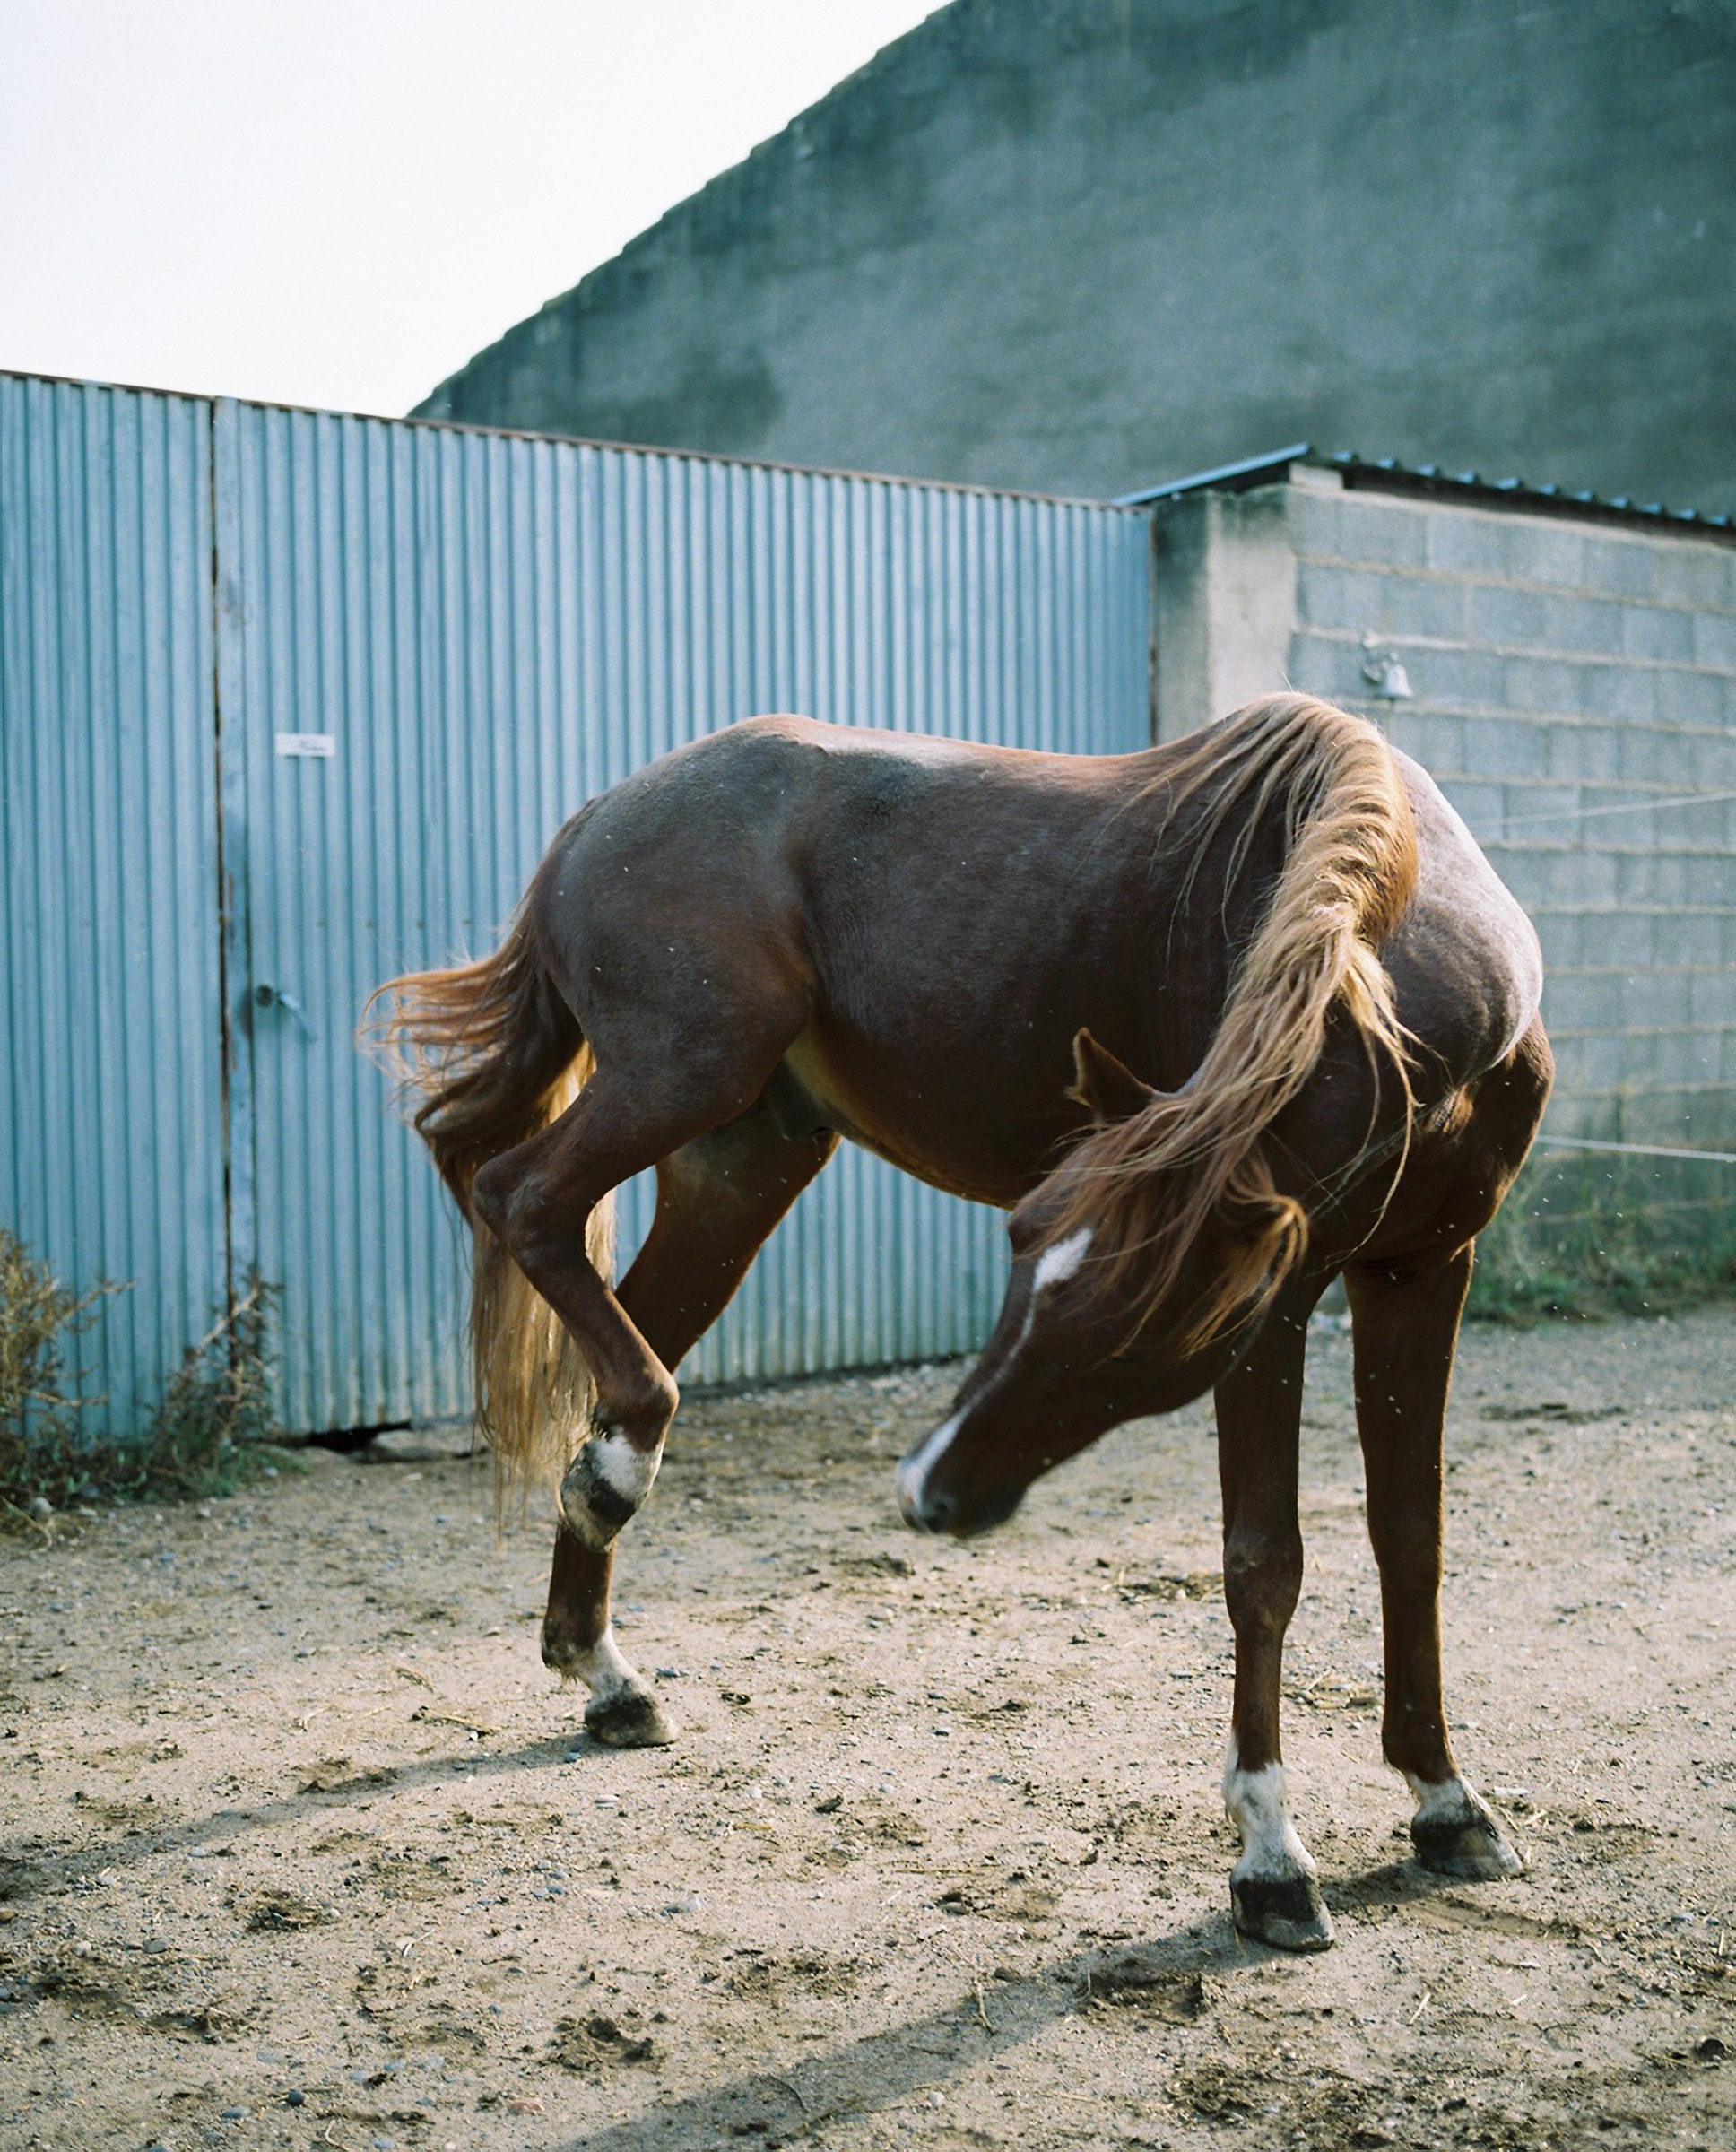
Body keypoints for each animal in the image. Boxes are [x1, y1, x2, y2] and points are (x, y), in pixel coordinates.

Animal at [370, 692, 1551, 1953]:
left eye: (1137, 1318)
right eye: (1021, 1243)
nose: (925, 1490)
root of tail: (600, 815)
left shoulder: (1420, 1273)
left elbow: (1410, 1538)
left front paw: (1445, 1801)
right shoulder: (1279, 1301)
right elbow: (1263, 1560)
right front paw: (1272, 1860)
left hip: (740, 1159)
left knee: (615, 1314)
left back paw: (603, 1665)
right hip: (680, 1081)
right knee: (523, 1202)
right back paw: (612, 1478)